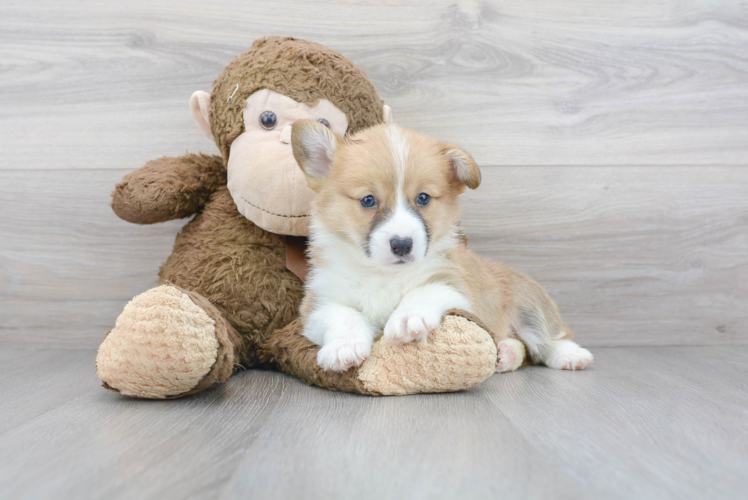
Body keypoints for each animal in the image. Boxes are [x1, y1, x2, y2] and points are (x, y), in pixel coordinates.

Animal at [290, 120, 592, 372]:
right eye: (368, 200)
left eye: (423, 198)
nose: (402, 245)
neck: (385, 274)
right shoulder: (316, 306)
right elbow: (343, 315)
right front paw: (344, 347)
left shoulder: (456, 287)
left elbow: (425, 290)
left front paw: (408, 318)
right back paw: (505, 354)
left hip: (530, 305)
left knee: (547, 340)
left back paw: (570, 355)